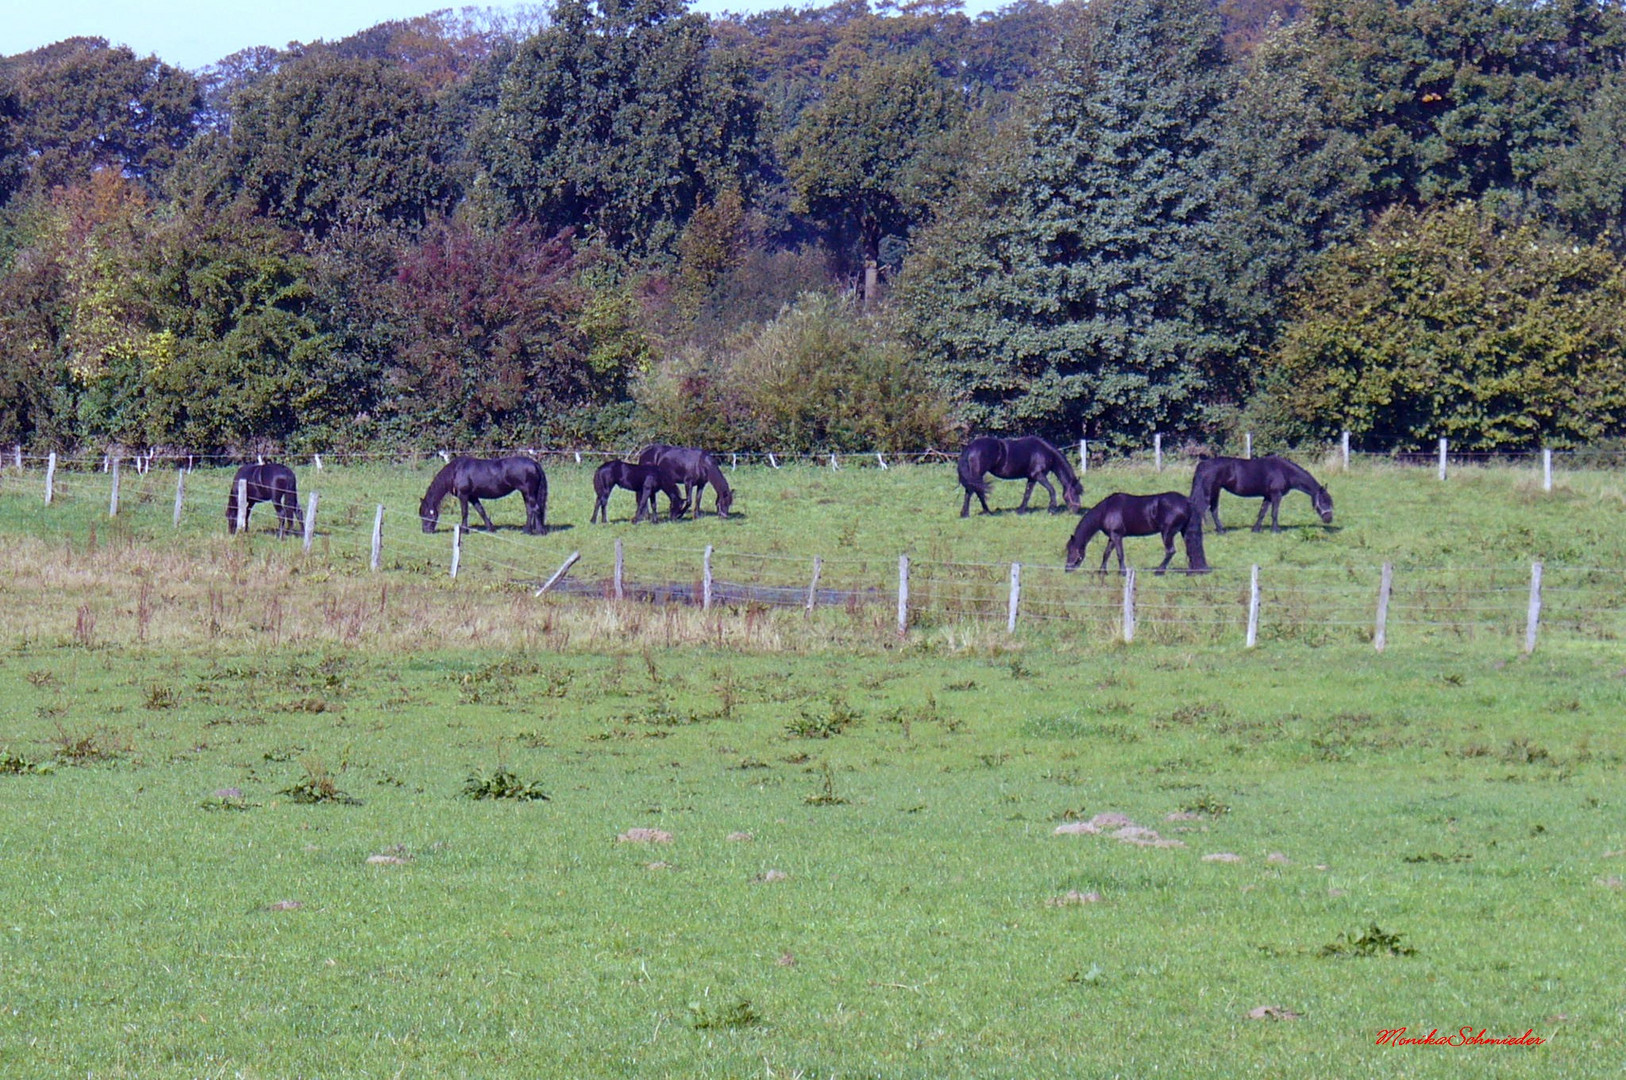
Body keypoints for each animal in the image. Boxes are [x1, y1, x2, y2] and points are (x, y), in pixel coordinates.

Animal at [949, 435, 1079, 520]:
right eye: (1075, 493)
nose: (1076, 510)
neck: (1044, 452)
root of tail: (970, 447)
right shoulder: (1039, 475)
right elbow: (1051, 490)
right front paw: (1052, 509)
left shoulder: (1032, 477)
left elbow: (1027, 494)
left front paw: (1020, 511)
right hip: (977, 475)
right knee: (974, 492)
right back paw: (978, 513)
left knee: (972, 492)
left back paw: (971, 513)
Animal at [1066, 487, 1209, 572]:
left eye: (1070, 550)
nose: (1067, 569)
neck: (1106, 510)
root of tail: (1187, 501)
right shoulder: (1112, 537)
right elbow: (1106, 553)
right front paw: (1102, 572)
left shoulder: (1117, 535)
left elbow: (1119, 554)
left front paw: (1122, 572)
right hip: (1184, 531)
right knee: (1191, 549)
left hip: (1167, 533)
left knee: (1170, 551)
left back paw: (1159, 571)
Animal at [1183, 455, 1333, 536]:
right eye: (1324, 501)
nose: (1329, 519)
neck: (1284, 471)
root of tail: (1203, 464)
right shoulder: (1276, 495)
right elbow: (1274, 513)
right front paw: (1275, 530)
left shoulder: (1268, 496)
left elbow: (1262, 512)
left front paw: (1256, 529)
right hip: (1209, 492)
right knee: (1202, 509)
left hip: (1216, 491)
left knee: (1213, 510)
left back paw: (1221, 531)